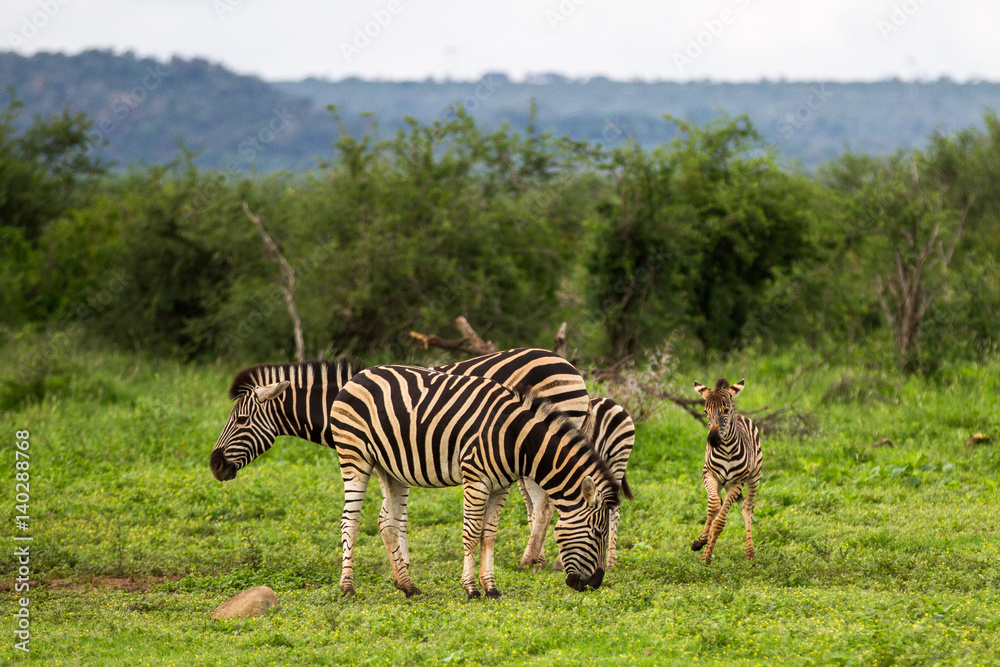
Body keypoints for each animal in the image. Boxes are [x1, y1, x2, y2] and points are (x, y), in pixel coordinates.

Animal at [329, 365, 619, 599]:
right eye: (597, 533)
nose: (595, 583)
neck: (515, 439)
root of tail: (359, 375)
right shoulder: (476, 480)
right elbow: (471, 534)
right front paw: (470, 589)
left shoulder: (501, 486)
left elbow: (488, 535)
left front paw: (491, 587)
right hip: (354, 456)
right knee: (350, 521)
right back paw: (348, 588)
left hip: (391, 469)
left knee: (387, 522)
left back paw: (408, 586)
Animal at [690, 378, 762, 565]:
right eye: (705, 411)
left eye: (725, 410)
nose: (713, 440)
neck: (727, 450)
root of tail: (740, 416)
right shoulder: (708, 473)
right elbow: (714, 506)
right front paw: (701, 542)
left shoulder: (737, 482)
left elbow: (719, 522)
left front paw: (706, 557)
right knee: (716, 505)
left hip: (754, 477)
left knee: (747, 508)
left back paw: (750, 552)